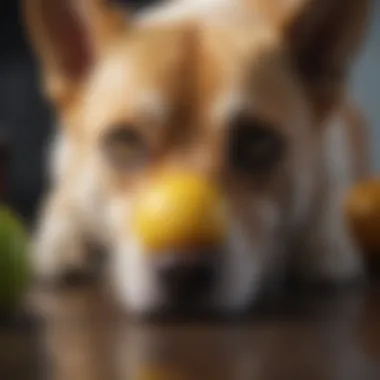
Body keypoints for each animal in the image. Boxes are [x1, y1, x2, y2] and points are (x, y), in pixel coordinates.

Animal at [23, 0, 372, 314]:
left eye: (257, 141)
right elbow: (64, 205)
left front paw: (322, 246)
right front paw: (63, 242)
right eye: (125, 142)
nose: (184, 271)